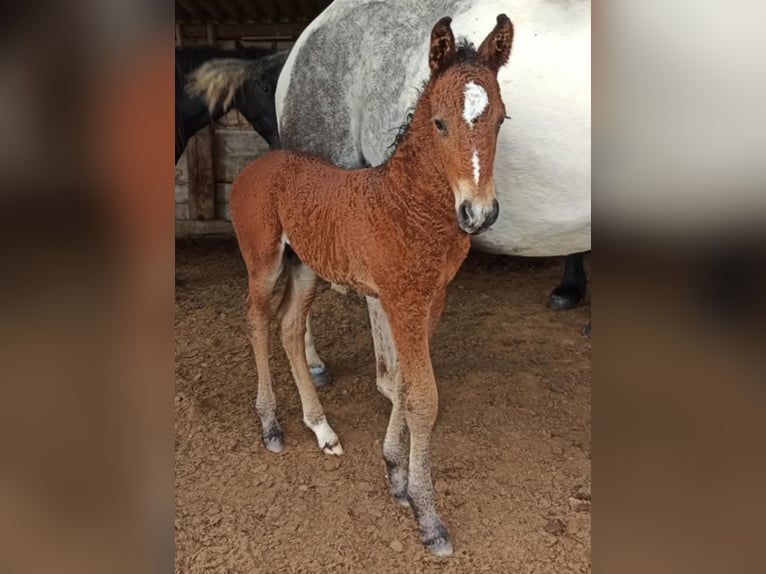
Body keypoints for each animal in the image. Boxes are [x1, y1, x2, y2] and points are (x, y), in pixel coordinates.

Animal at [229, 15, 513, 555]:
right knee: (256, 321)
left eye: (501, 119)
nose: (479, 213)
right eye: (440, 122)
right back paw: (271, 424)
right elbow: (423, 398)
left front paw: (396, 475)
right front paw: (428, 517)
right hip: (264, 260)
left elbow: (402, 384)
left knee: (289, 327)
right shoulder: (402, 301)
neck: (408, 206)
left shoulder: (432, 299)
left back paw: (321, 428)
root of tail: (255, 166)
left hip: (306, 266)